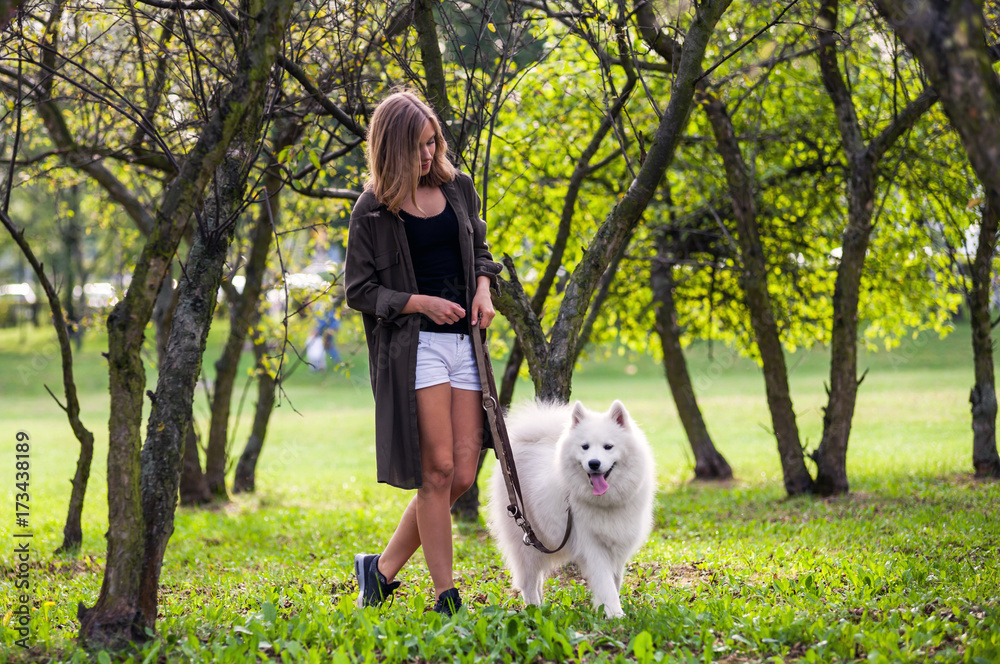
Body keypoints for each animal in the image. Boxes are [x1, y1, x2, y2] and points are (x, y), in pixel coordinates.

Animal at [486, 396, 656, 620]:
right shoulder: (592, 547)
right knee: (528, 582)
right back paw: (534, 610)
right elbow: (606, 585)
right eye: (585, 447)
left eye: (608, 446)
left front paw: (605, 610)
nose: (594, 463)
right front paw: (616, 616)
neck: (606, 502)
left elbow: (615, 581)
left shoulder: (618, 547)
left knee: (537, 579)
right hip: (525, 543)